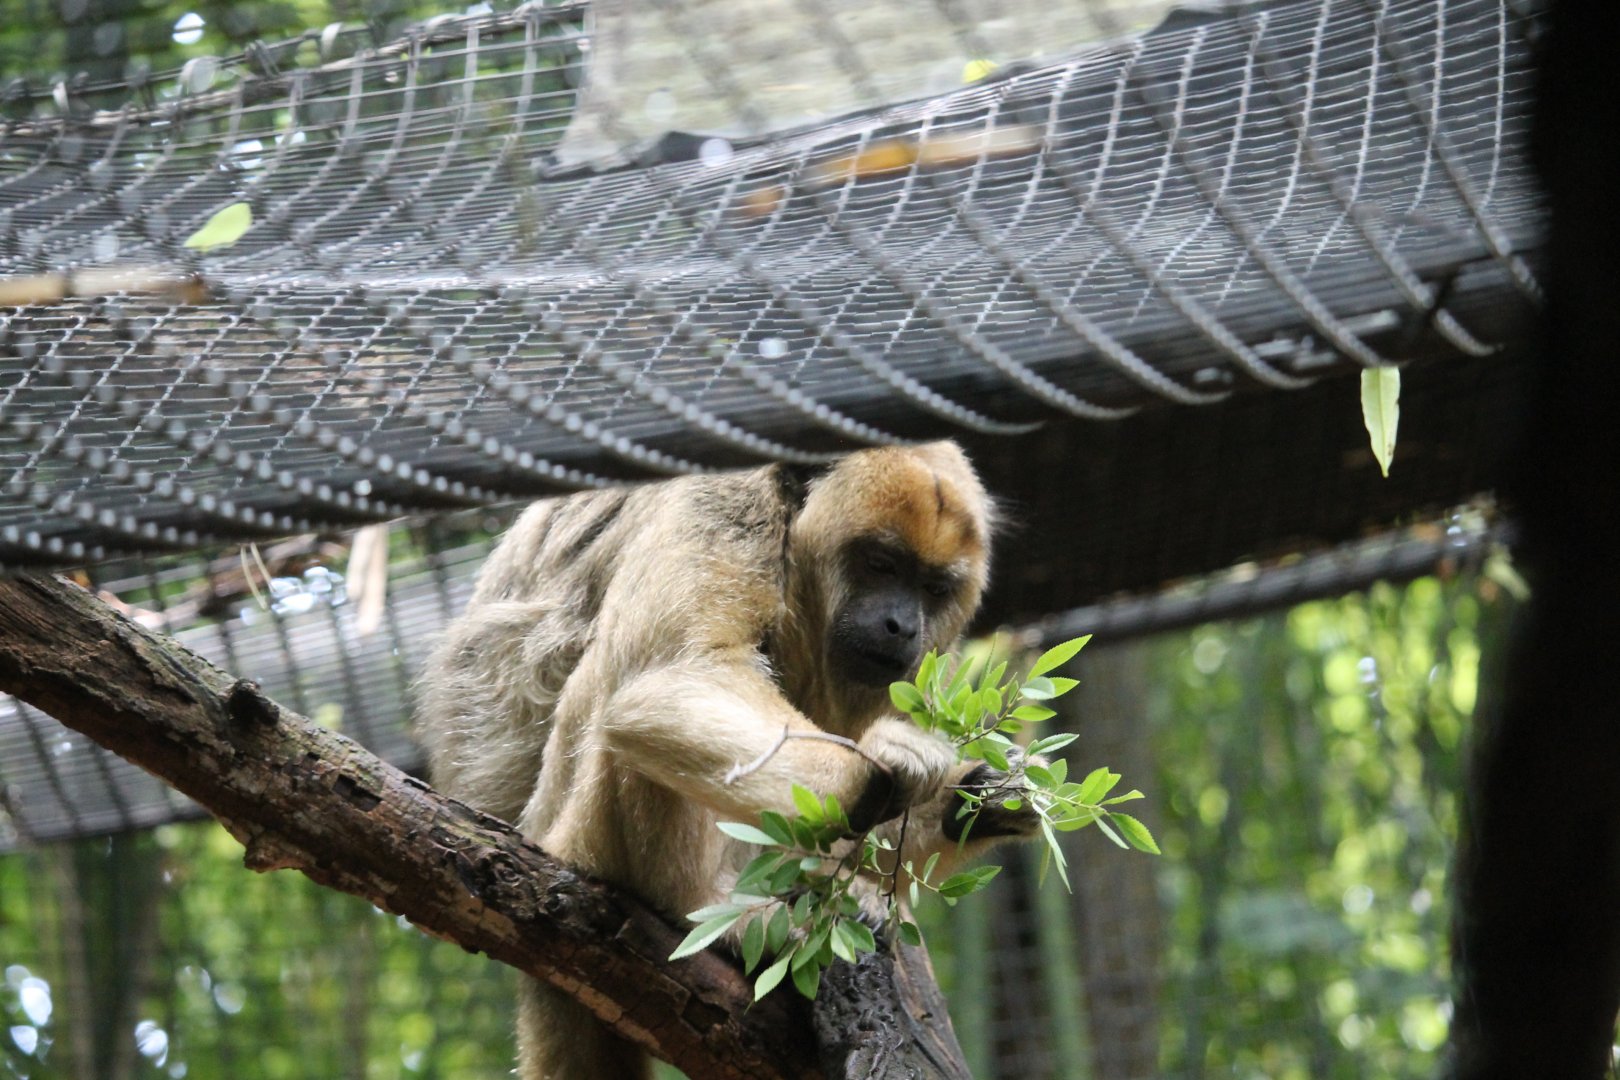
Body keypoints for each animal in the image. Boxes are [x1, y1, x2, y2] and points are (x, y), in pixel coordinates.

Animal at [415, 441, 1040, 1079]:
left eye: (934, 589)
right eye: (881, 564)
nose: (901, 625)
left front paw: (976, 800)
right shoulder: (723, 499)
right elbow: (668, 679)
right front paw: (886, 770)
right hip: (574, 838)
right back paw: (721, 918)